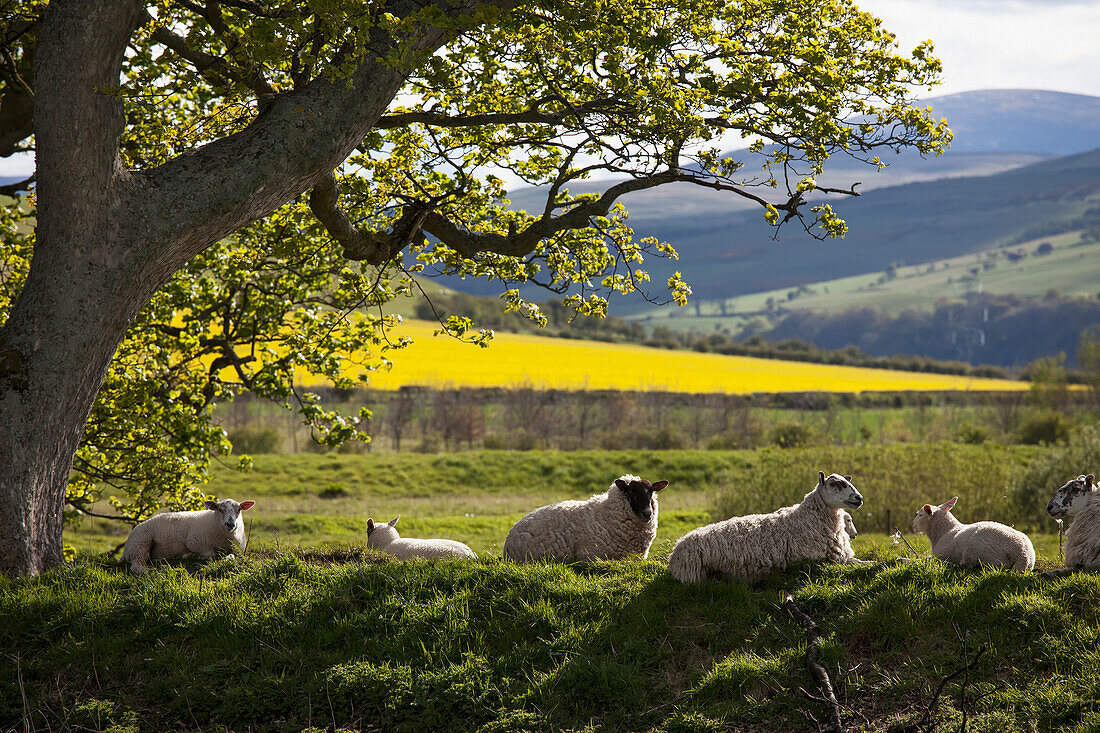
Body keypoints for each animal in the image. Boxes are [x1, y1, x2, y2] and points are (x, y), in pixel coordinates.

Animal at [120, 497, 255, 572]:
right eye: (220, 509)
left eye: (239, 510)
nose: (230, 524)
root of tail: (125, 551)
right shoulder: (195, 542)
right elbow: (211, 554)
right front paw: (196, 556)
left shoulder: (239, 549)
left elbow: (232, 555)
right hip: (141, 542)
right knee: (136, 564)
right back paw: (145, 570)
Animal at [501, 473, 668, 559]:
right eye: (631, 491)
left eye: (651, 491)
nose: (647, 513)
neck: (607, 515)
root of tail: (509, 536)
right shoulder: (591, 556)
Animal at [664, 471, 862, 585]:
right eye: (836, 484)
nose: (859, 498)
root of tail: (675, 550)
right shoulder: (827, 560)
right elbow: (860, 563)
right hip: (695, 575)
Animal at [906, 497, 1034, 572]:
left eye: (920, 515)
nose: (913, 526)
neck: (945, 531)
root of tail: (1023, 555)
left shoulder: (940, 554)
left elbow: (926, 559)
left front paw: (905, 560)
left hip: (980, 550)